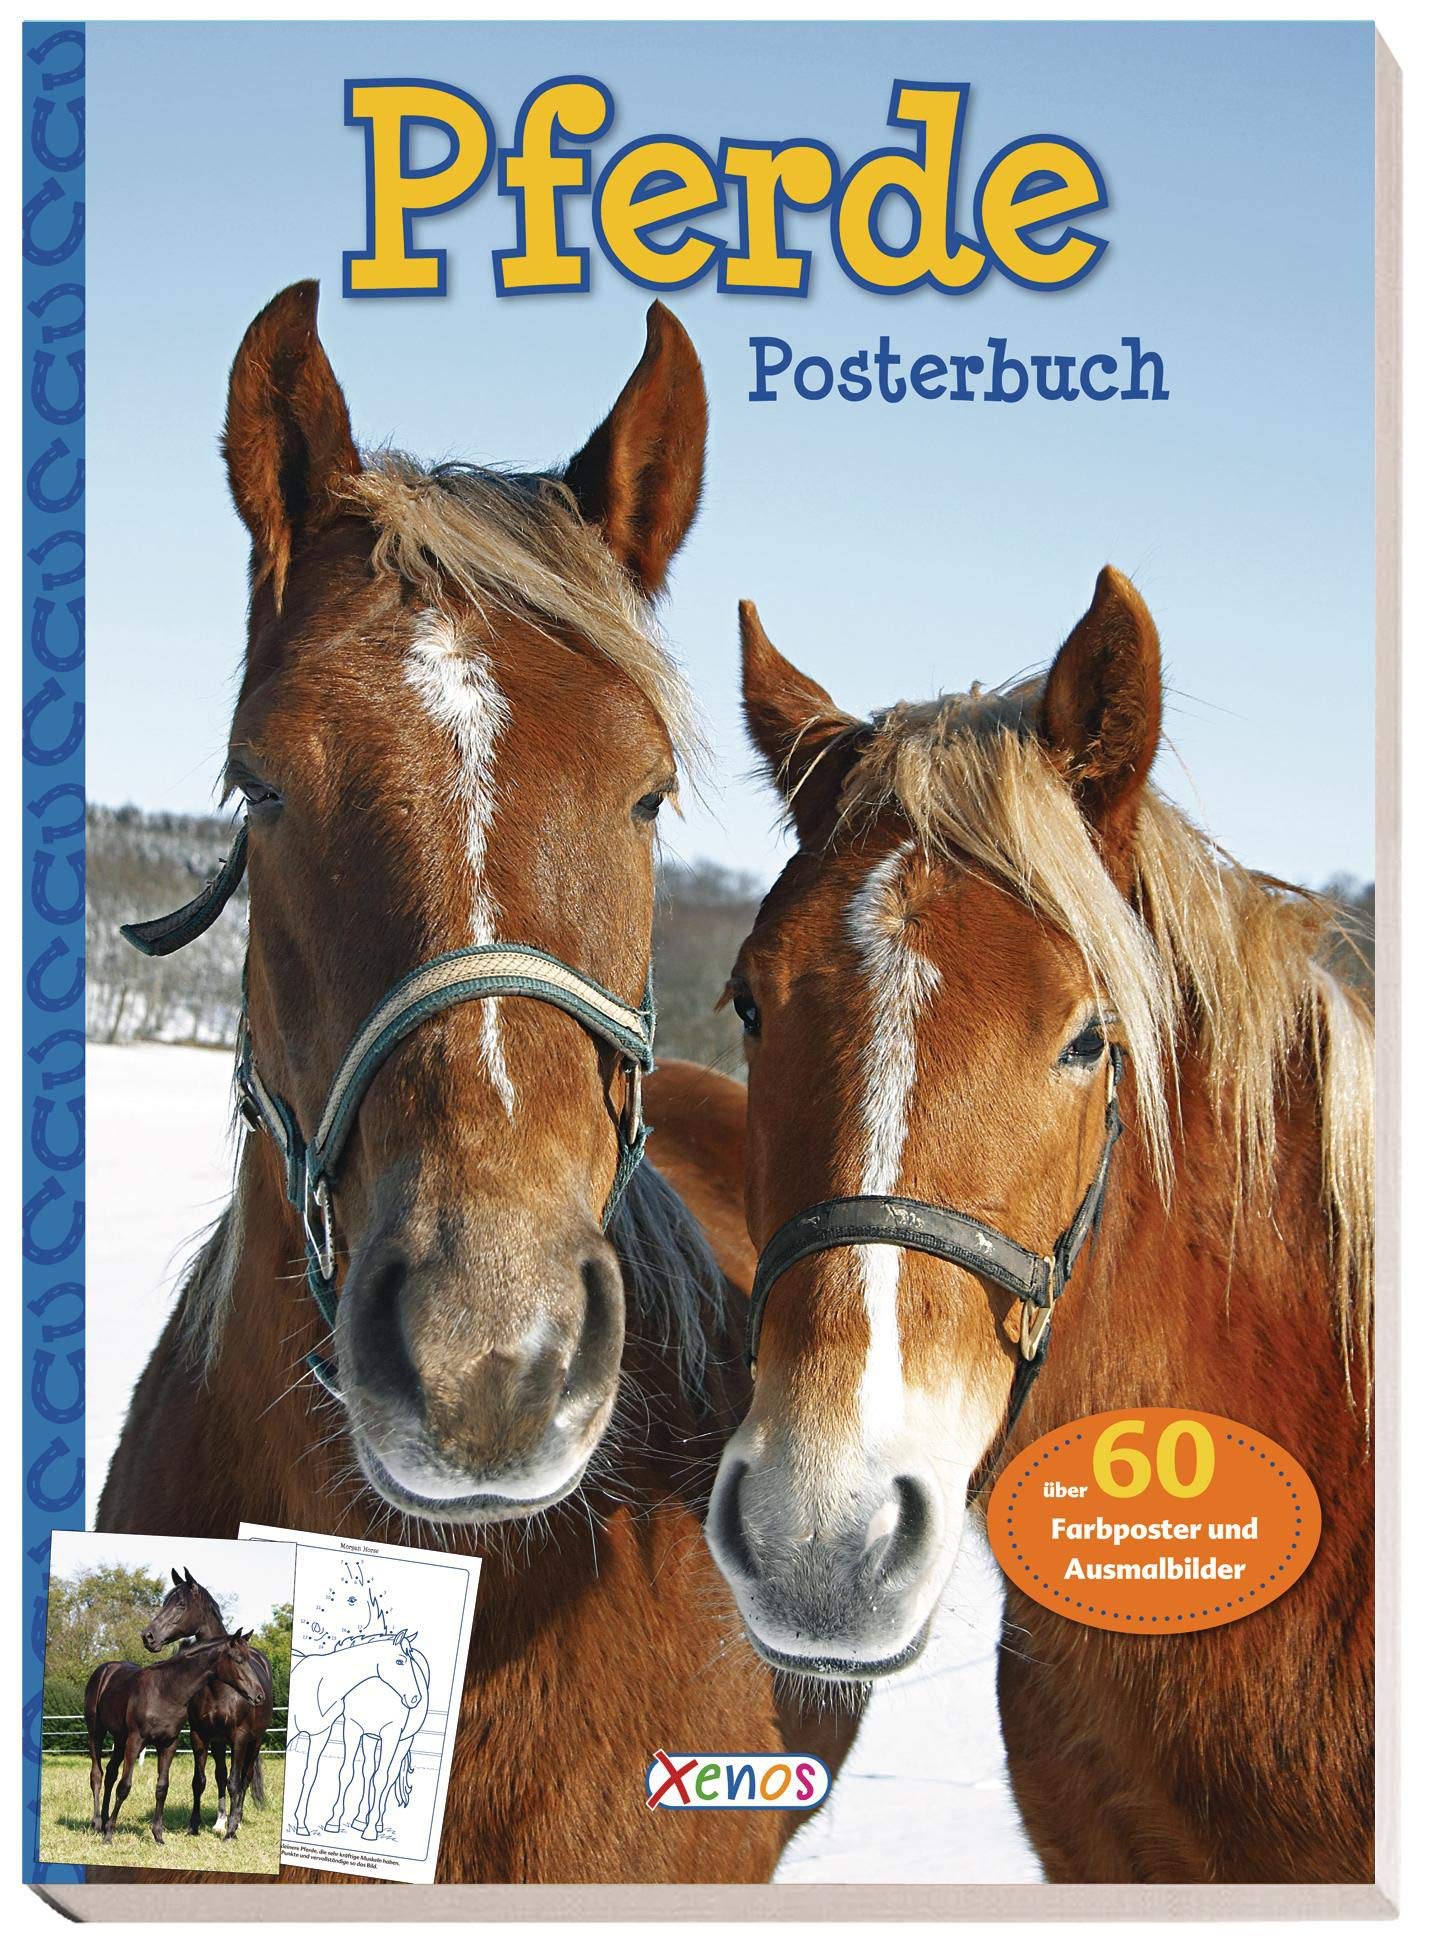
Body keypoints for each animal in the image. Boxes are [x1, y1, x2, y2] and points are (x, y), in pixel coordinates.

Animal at [84, 1636, 267, 1845]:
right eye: (238, 1660)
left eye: (249, 1659)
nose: (259, 1695)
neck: (165, 1691)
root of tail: (104, 1669)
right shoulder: (135, 1741)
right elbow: (124, 1786)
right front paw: (109, 1835)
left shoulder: (168, 1744)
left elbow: (162, 1787)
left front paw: (158, 1836)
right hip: (97, 1732)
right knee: (97, 1774)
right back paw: (98, 1823)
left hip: (120, 1739)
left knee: (110, 1773)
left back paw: (104, 1820)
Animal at [141, 1566, 275, 1839]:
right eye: (165, 1602)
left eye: (180, 1604)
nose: (148, 1637)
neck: (219, 1686)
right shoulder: (200, 1735)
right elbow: (200, 1781)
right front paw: (194, 1826)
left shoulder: (240, 1737)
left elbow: (235, 1782)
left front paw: (232, 1830)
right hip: (219, 1742)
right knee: (221, 1775)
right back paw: (221, 1820)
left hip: (254, 1740)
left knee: (244, 1778)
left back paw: (236, 1820)